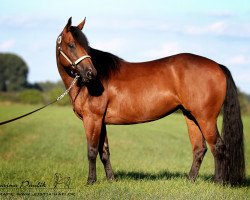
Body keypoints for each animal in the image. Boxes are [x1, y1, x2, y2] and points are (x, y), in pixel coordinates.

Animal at [55, 18, 245, 185]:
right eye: (71, 45)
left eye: (85, 45)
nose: (91, 73)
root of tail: (218, 65)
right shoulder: (100, 121)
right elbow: (104, 152)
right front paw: (111, 180)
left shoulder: (92, 119)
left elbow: (92, 151)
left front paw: (90, 181)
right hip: (191, 117)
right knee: (199, 149)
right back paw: (190, 180)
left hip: (206, 118)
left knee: (218, 147)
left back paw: (218, 182)